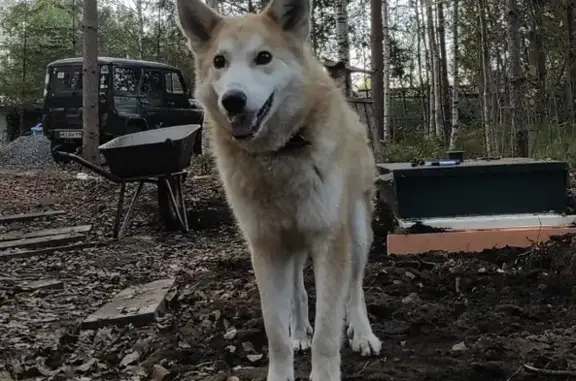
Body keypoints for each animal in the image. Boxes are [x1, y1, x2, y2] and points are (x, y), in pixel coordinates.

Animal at [176, 0, 382, 378]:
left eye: (264, 57)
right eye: (219, 61)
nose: (233, 100)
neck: (279, 155)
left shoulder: (330, 240)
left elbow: (328, 333)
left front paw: (327, 368)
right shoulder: (267, 248)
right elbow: (275, 333)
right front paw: (286, 360)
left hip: (358, 234)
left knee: (355, 288)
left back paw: (362, 333)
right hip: (292, 245)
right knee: (299, 292)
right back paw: (300, 331)